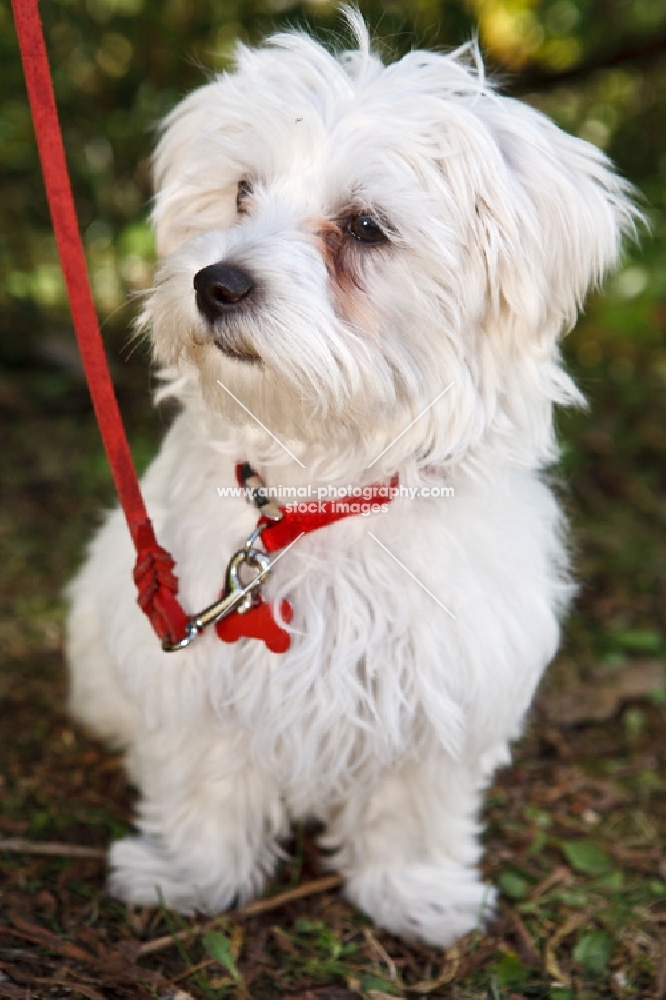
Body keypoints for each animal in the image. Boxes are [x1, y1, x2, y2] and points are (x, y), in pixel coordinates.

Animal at [65, 13, 636, 944]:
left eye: (365, 227)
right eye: (243, 193)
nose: (215, 281)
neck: (321, 488)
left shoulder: (448, 679)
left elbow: (414, 801)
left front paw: (415, 894)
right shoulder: (198, 678)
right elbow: (207, 779)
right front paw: (191, 876)